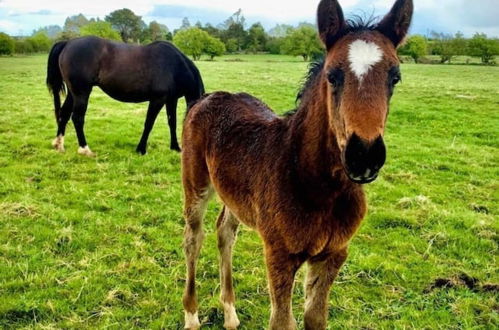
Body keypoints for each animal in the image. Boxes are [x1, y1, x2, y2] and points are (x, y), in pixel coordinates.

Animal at [46, 36, 204, 156]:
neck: (174, 66)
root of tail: (68, 43)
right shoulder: (157, 100)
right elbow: (149, 123)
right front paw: (141, 149)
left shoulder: (171, 99)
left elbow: (172, 122)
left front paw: (175, 147)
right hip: (82, 92)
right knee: (77, 118)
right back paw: (85, 149)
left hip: (73, 93)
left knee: (64, 114)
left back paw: (59, 145)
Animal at [180, 0, 414, 328]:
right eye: (332, 75)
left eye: (395, 77)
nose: (364, 155)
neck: (320, 187)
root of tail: (207, 97)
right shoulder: (279, 254)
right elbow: (282, 321)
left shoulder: (333, 254)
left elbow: (316, 318)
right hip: (196, 184)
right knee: (194, 237)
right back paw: (191, 315)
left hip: (233, 194)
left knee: (225, 233)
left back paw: (230, 313)